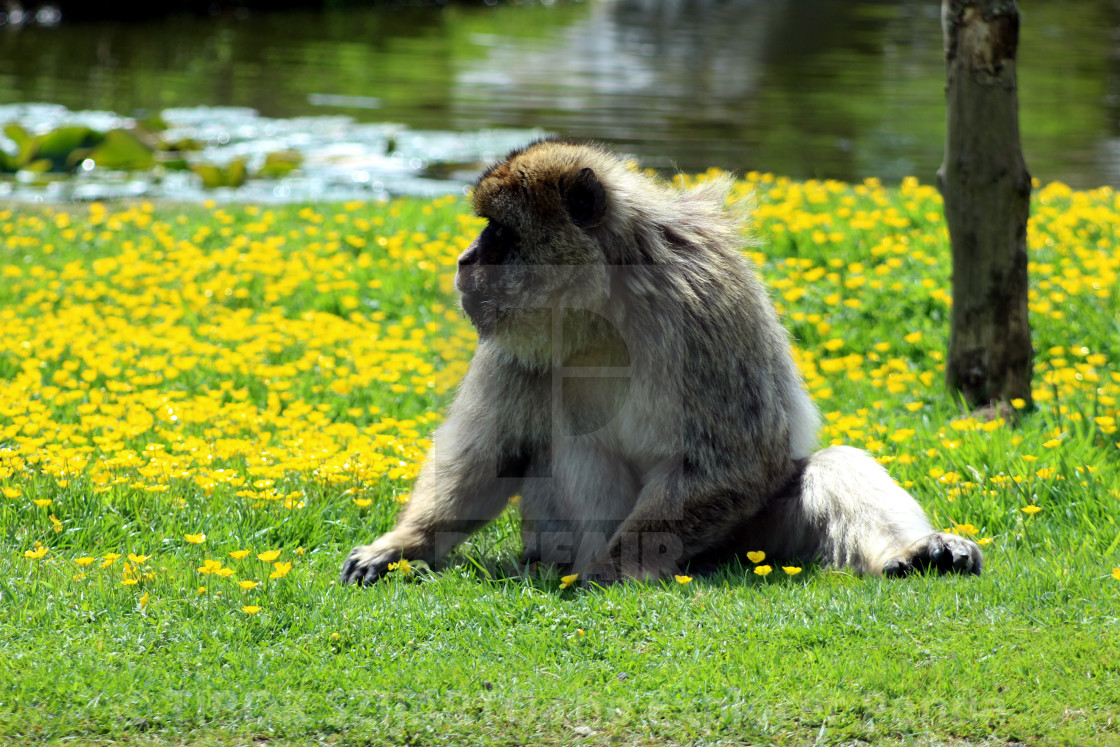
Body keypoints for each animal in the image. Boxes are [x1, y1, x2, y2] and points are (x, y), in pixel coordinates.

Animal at [338, 138, 981, 582]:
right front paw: (408, 544)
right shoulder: (514, 340)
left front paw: (619, 564)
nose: (466, 259)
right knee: (568, 443)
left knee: (828, 466)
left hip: (746, 541)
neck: (603, 305)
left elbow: (735, 459)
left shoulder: (701, 306)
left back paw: (915, 551)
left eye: (499, 232)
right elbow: (489, 456)